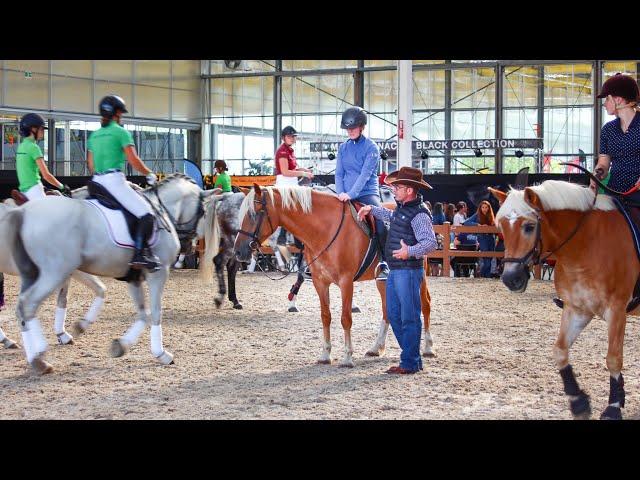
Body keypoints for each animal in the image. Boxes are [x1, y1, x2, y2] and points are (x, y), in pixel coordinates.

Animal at [4, 173, 220, 376]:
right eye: (202, 212)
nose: (188, 248)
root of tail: (23, 212)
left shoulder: (133, 277)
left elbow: (142, 313)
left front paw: (119, 345)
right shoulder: (158, 273)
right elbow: (155, 312)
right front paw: (161, 354)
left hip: (33, 274)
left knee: (22, 308)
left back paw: (33, 355)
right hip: (54, 272)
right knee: (28, 305)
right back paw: (38, 358)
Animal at [232, 185, 432, 368]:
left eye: (254, 214)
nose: (238, 251)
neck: (325, 229)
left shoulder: (346, 282)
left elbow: (345, 318)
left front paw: (347, 357)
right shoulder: (320, 283)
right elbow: (325, 316)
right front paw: (325, 355)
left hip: (419, 274)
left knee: (425, 305)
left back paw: (428, 348)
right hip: (383, 280)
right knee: (386, 309)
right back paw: (376, 348)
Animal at [492, 180, 636, 420]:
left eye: (529, 227)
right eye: (501, 228)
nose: (511, 278)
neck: (587, 244)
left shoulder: (616, 310)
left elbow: (613, 358)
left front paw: (613, 406)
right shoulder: (577, 309)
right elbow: (560, 351)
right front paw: (579, 402)